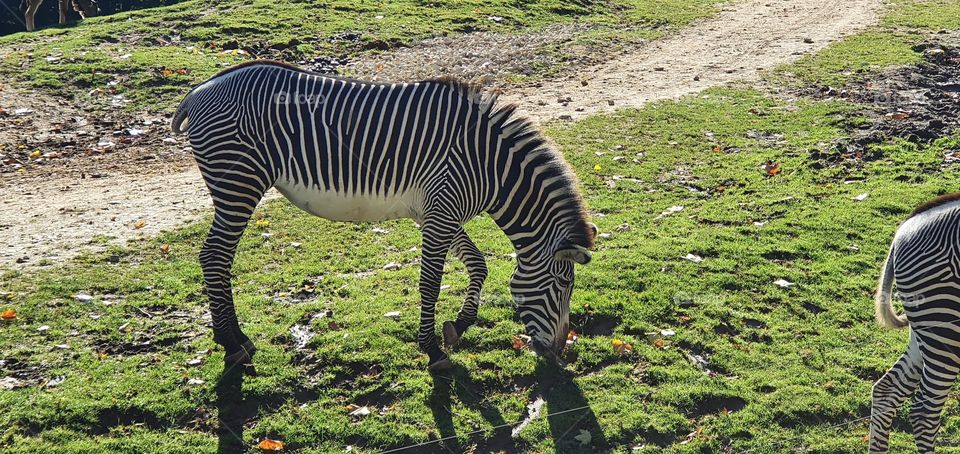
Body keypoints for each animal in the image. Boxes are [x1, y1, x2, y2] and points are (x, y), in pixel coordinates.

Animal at [171, 61, 596, 371]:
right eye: (564, 285)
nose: (559, 352)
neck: (490, 167)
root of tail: (199, 89)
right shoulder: (442, 212)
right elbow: (431, 283)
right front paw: (432, 350)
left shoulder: (436, 212)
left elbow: (478, 264)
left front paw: (456, 327)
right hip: (238, 183)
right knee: (214, 257)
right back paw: (232, 342)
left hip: (235, 185)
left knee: (216, 257)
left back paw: (233, 338)